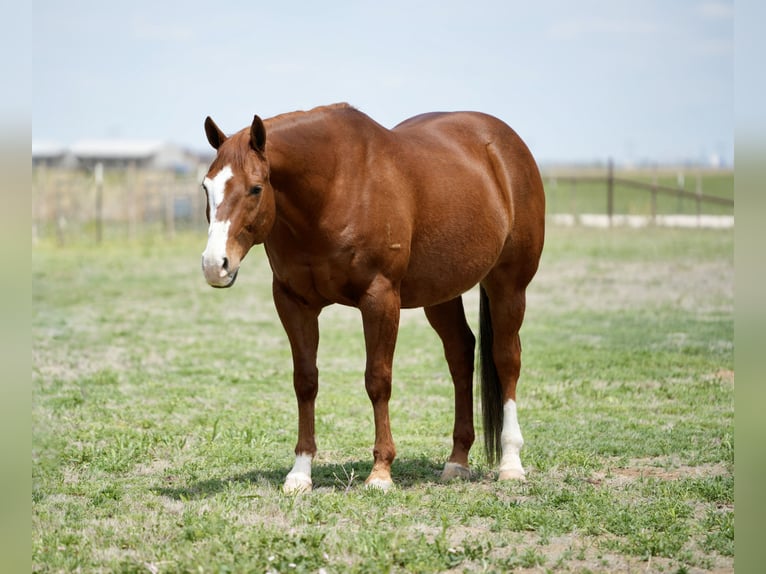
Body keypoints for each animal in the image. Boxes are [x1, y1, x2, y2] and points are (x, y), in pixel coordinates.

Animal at [198, 104, 544, 496]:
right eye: (206, 187)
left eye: (256, 188)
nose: (214, 264)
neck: (333, 187)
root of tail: (505, 145)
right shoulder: (293, 302)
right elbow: (305, 381)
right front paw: (300, 472)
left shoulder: (380, 299)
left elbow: (378, 380)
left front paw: (380, 472)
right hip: (440, 293)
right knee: (460, 354)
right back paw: (457, 461)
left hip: (508, 285)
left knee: (506, 359)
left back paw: (511, 463)